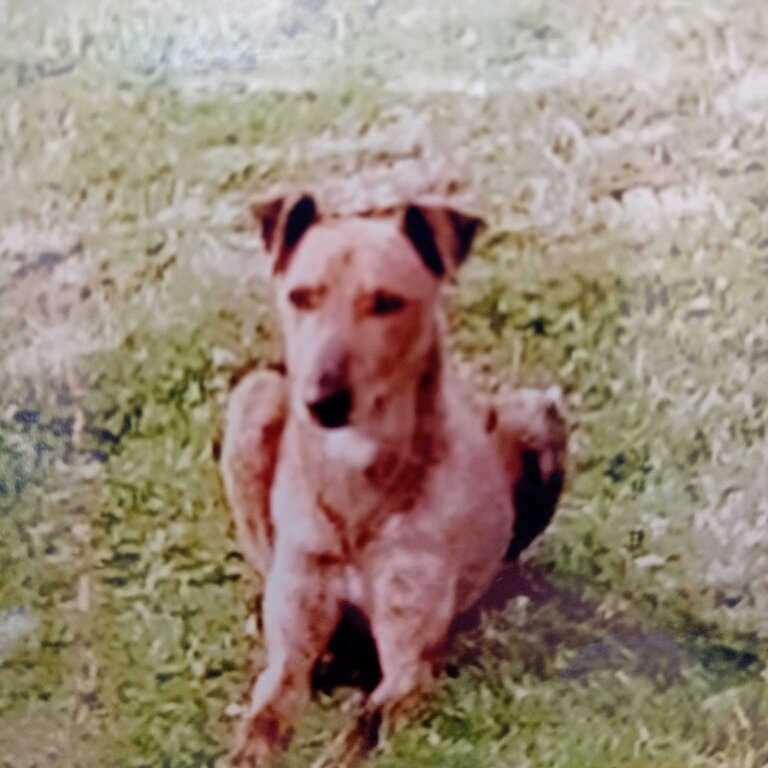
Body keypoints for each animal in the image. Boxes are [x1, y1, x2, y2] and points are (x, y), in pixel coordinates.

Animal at [219, 189, 568, 764]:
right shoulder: (291, 648)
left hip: (537, 417)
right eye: (301, 297)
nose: (322, 401)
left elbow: (365, 725)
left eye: (386, 302)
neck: (357, 486)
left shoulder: (407, 664)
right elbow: (262, 722)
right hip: (255, 398)